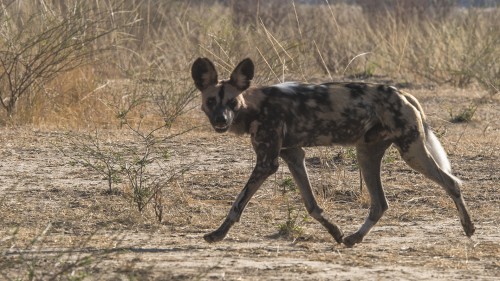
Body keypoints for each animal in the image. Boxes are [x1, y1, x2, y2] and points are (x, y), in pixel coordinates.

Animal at [189, 58, 474, 246]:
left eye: (232, 102)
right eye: (211, 101)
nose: (221, 120)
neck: (254, 105)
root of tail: (401, 92)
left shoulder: (267, 163)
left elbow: (238, 203)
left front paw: (218, 234)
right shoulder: (293, 156)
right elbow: (312, 205)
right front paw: (335, 232)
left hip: (411, 153)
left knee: (451, 182)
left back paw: (469, 227)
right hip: (367, 154)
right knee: (380, 204)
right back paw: (354, 238)